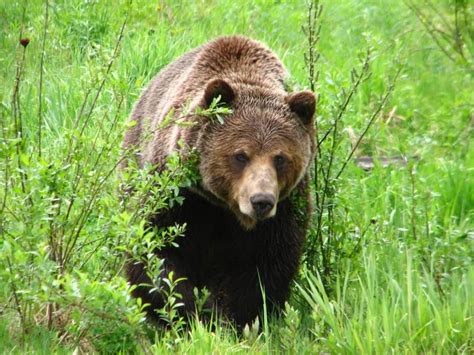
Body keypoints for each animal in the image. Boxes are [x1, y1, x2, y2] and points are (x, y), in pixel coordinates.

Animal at [122, 35, 316, 328]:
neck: (224, 208)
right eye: (241, 155)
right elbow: (155, 246)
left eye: (280, 158)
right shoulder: (178, 193)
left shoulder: (283, 210)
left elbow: (265, 266)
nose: (261, 201)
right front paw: (186, 311)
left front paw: (228, 318)